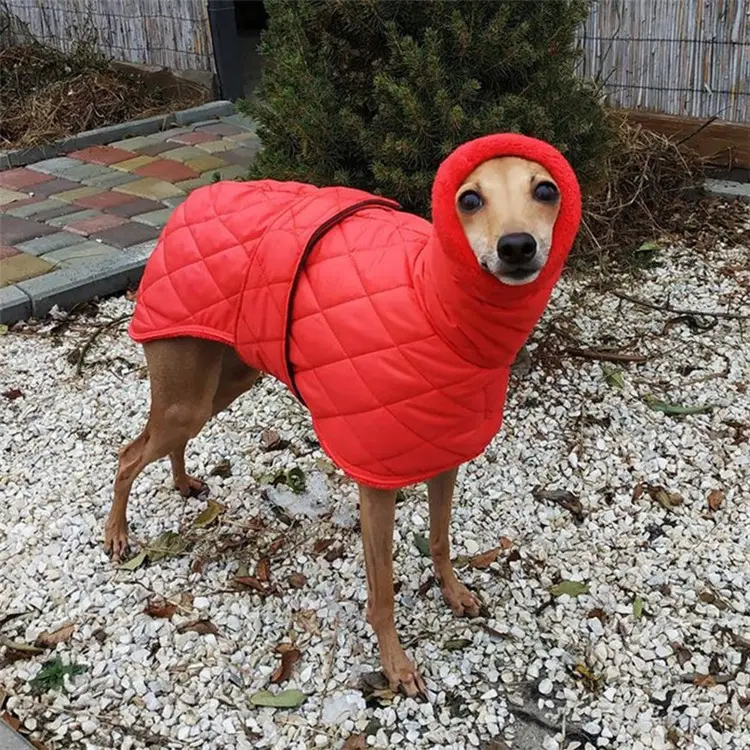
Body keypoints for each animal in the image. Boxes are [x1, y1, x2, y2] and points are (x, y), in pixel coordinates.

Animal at [107, 132, 580, 696]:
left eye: (547, 189)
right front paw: (396, 665)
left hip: (224, 378)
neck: (429, 300)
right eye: (468, 199)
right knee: (128, 455)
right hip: (187, 389)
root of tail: (192, 203)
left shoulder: (444, 457)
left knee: (166, 441)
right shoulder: (375, 482)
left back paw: (182, 483)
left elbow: (440, 540)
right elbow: (383, 592)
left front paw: (454, 592)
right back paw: (117, 535)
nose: (516, 247)